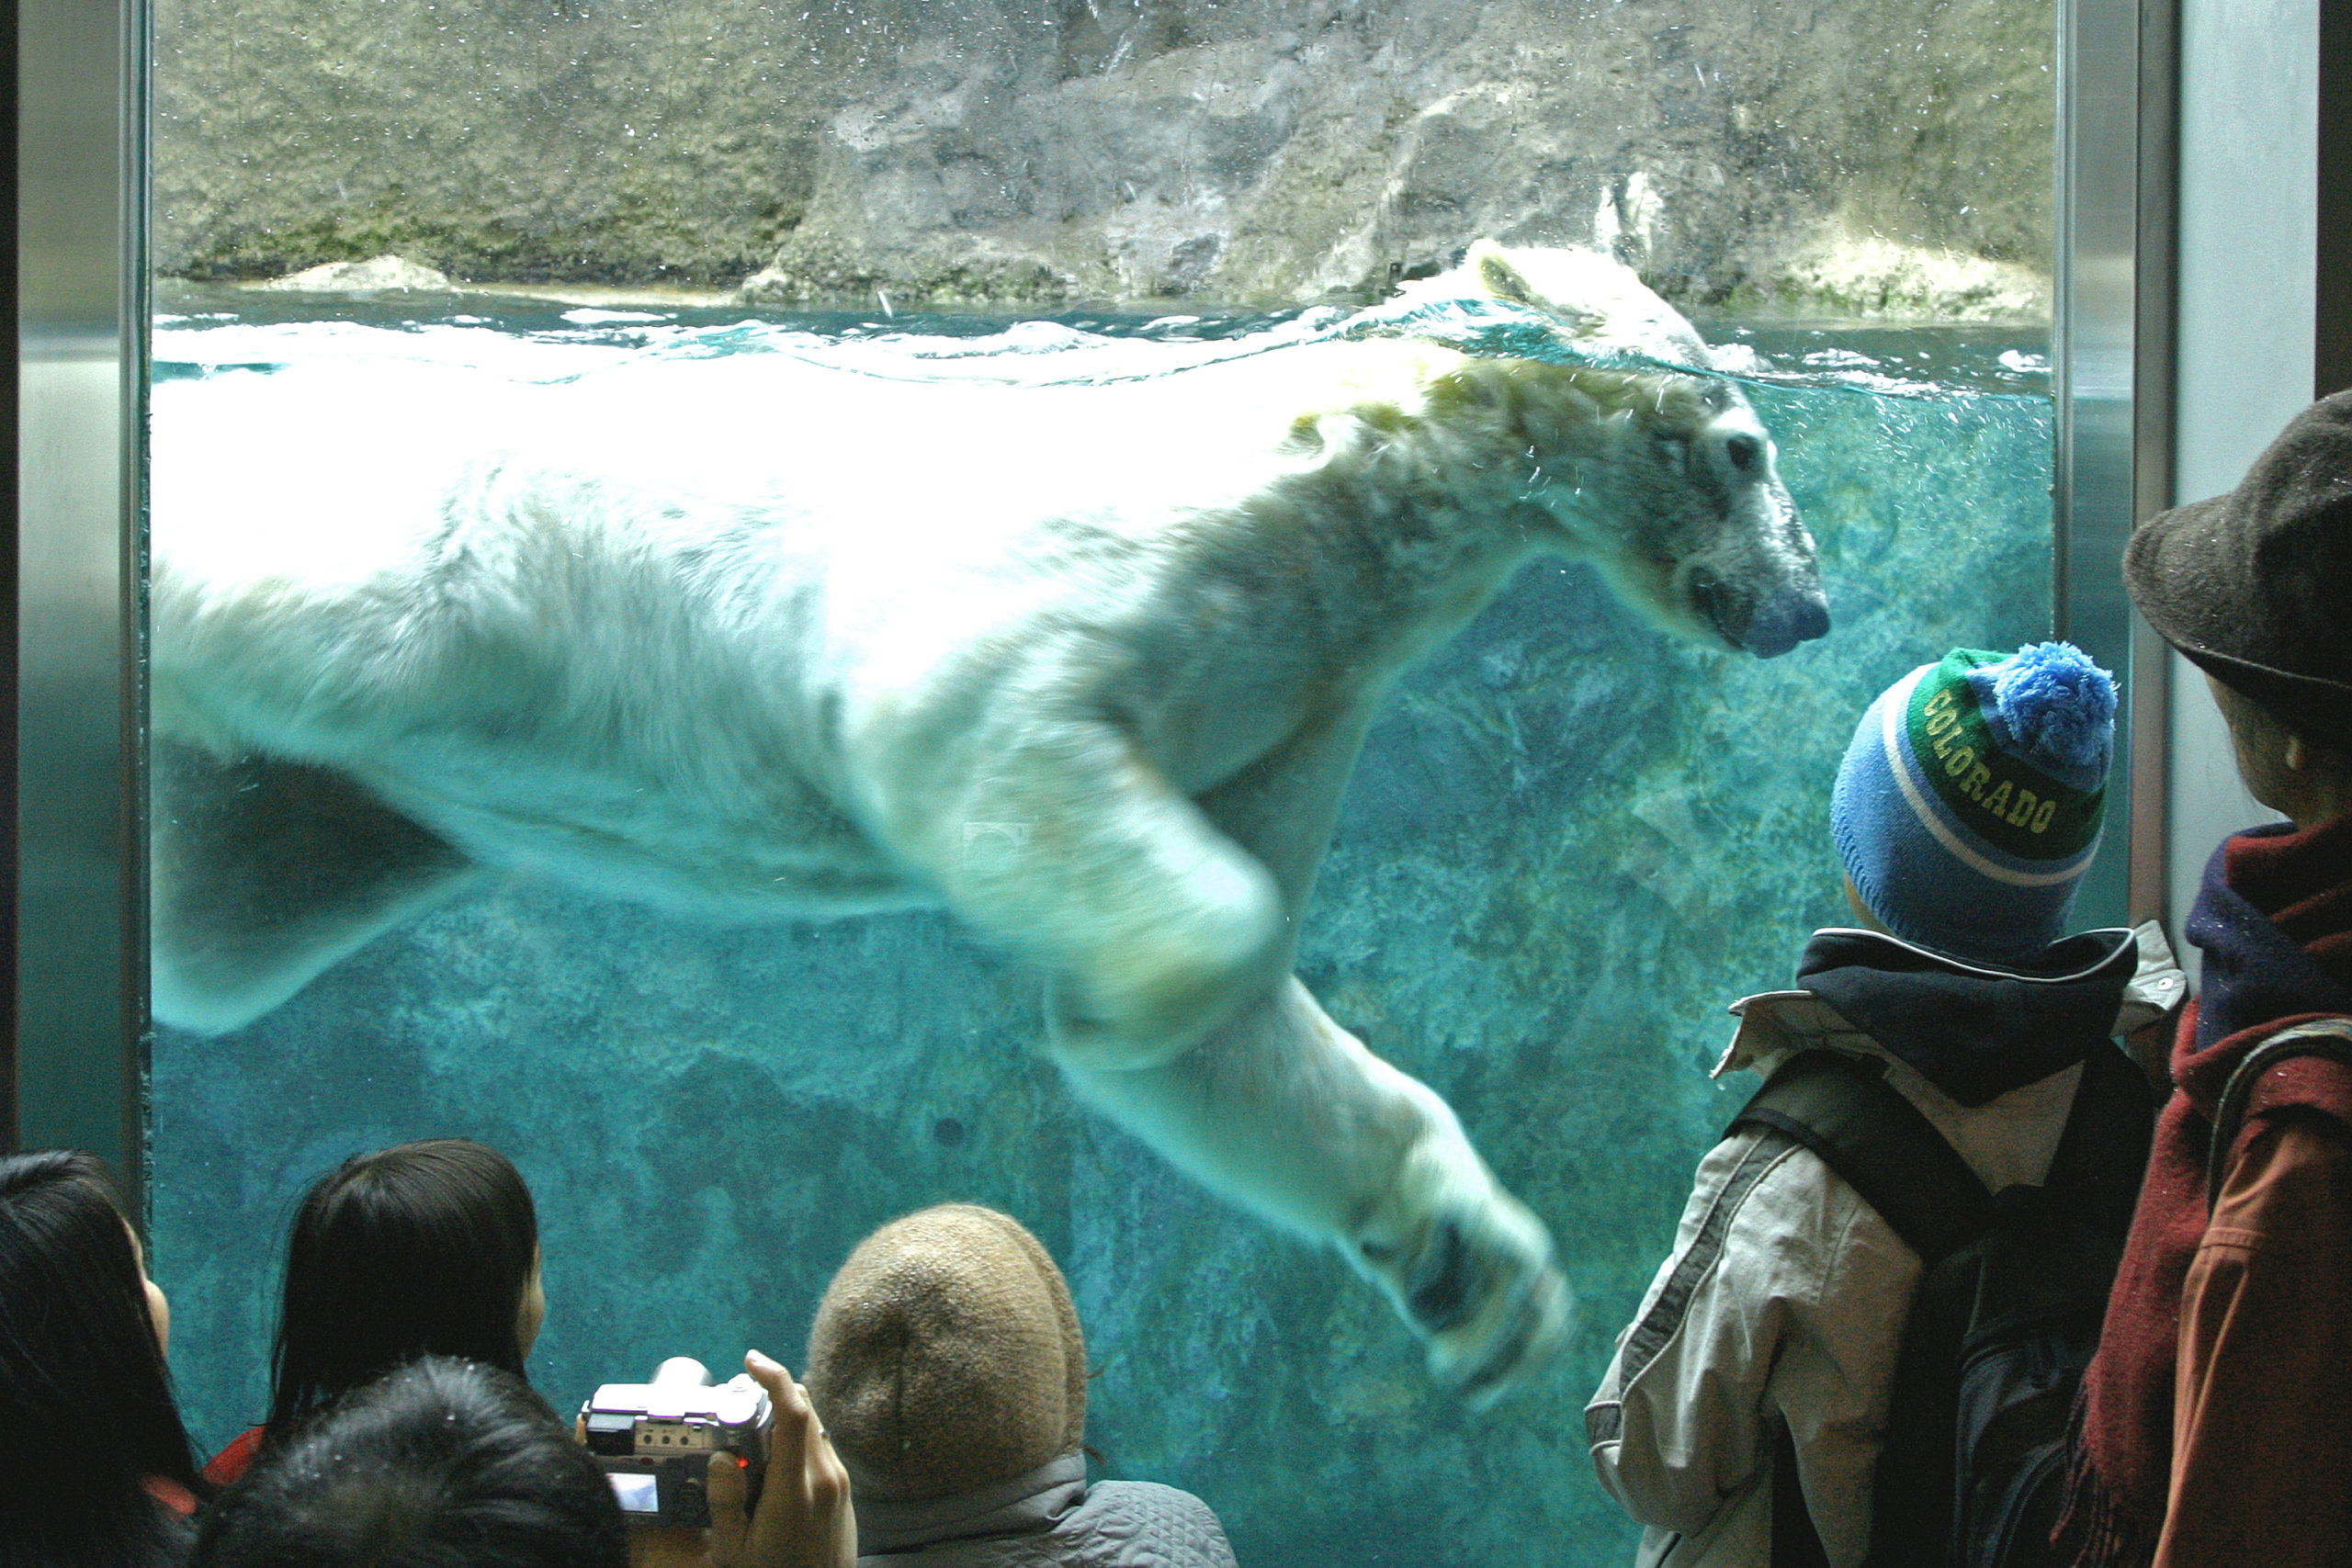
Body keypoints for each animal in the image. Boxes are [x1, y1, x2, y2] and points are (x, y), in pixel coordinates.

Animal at [147, 242, 1825, 1401]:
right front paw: (1137, 992)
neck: (1343, 473)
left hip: (343, 797)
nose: (1807, 610)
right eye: (1744, 447)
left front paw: (1475, 1270)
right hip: (439, 565)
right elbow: (978, 726)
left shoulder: (1306, 692)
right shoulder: (1133, 556)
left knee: (224, 923)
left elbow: (1239, 1037)